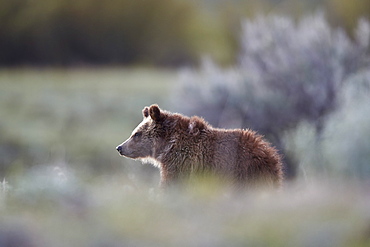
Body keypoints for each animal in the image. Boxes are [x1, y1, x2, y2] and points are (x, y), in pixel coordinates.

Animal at [116, 104, 284, 189]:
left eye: (136, 134)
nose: (120, 147)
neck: (168, 145)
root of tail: (269, 155)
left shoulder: (181, 162)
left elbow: (172, 183)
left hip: (242, 172)